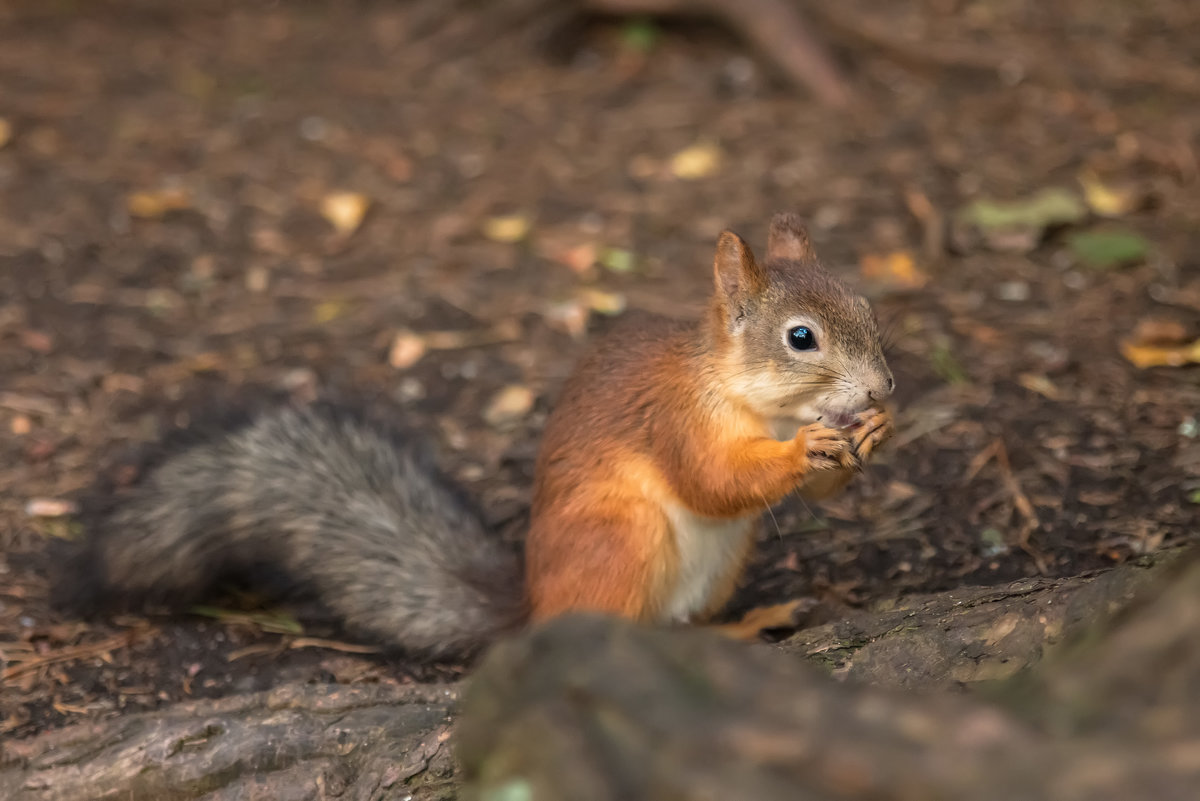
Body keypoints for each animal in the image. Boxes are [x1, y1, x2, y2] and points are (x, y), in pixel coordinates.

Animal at [60, 211, 897, 657]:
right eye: (800, 338)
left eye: (865, 305)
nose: (883, 386)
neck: (751, 398)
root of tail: (533, 609)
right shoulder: (673, 420)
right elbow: (714, 479)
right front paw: (804, 450)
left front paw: (870, 434)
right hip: (621, 538)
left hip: (720, 562)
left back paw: (747, 626)